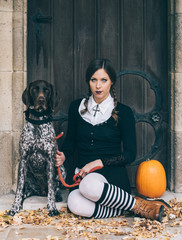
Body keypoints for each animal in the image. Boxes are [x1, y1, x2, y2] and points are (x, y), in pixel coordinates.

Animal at [8, 79, 66, 217]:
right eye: (34, 89)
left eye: (47, 90)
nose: (41, 100)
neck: (38, 123)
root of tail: (41, 191)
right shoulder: (23, 160)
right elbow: (19, 189)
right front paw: (15, 207)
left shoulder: (51, 160)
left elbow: (51, 188)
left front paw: (52, 208)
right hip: (26, 174)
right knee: (27, 191)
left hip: (61, 167)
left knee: (55, 187)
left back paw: (57, 195)